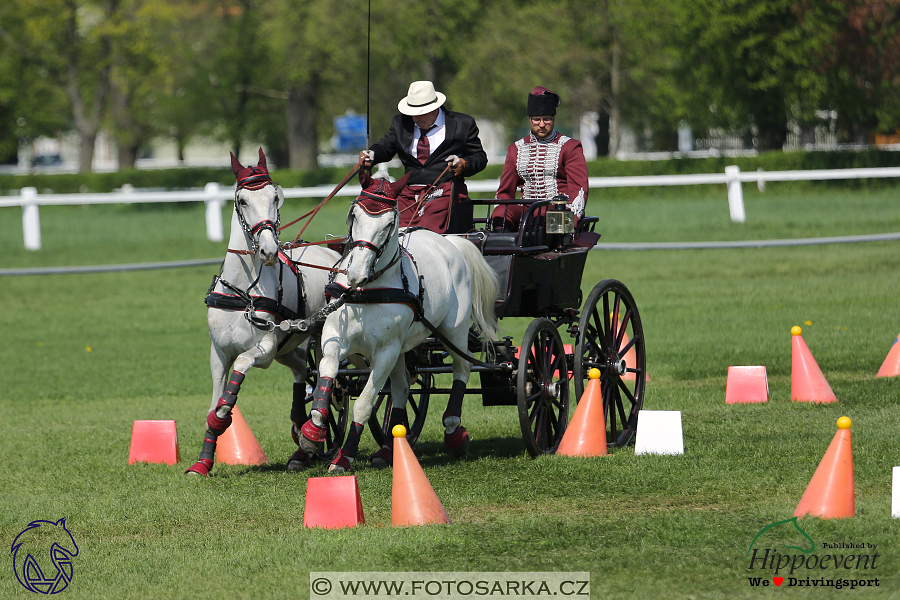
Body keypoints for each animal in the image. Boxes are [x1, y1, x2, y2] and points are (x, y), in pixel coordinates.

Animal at [186, 151, 342, 478]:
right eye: (242, 200)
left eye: (274, 197)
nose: (269, 250)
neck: (243, 293)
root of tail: (333, 253)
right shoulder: (218, 353)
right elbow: (211, 404)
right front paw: (202, 463)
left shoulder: (265, 348)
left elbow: (240, 367)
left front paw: (225, 413)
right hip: (288, 348)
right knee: (300, 370)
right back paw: (300, 440)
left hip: (319, 338)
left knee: (324, 375)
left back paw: (311, 437)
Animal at [296, 173, 500, 474]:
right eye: (354, 215)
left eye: (389, 224)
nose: (355, 273)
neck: (366, 290)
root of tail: (452, 242)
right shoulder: (335, 337)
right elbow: (328, 374)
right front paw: (312, 432)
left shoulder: (386, 352)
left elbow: (365, 402)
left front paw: (344, 457)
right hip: (404, 347)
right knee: (402, 387)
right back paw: (389, 447)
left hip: (454, 330)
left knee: (462, 367)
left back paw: (454, 431)